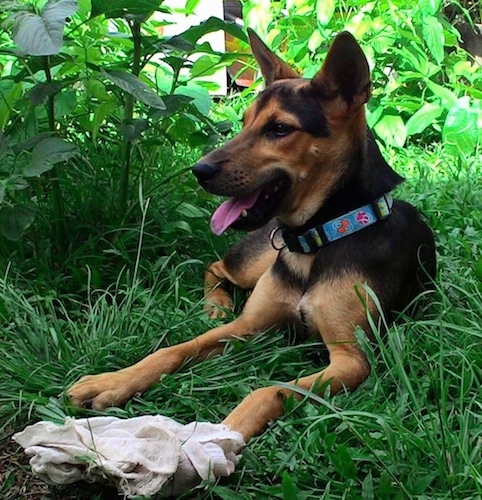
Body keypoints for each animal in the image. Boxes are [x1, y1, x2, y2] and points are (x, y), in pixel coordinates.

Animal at [68, 31, 436, 444]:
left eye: (279, 129)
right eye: (244, 122)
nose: (199, 170)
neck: (318, 239)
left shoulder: (352, 360)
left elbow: (271, 390)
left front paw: (220, 435)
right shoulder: (248, 325)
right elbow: (174, 349)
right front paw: (111, 381)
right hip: (256, 263)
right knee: (216, 265)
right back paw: (216, 305)